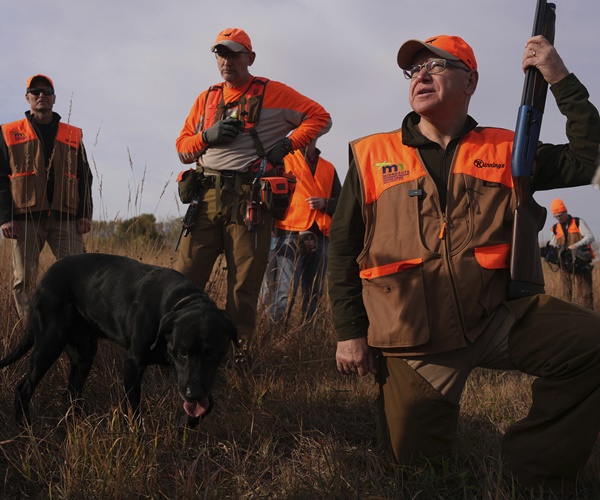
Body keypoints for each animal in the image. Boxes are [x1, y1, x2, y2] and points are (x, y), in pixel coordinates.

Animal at [0, 254, 237, 426]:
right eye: (182, 352)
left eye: (212, 354)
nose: (193, 395)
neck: (178, 302)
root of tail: (42, 281)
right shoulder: (133, 362)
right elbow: (135, 409)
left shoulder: (187, 375)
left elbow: (209, 403)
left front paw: (187, 424)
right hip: (50, 343)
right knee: (24, 388)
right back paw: (25, 427)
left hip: (84, 353)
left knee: (71, 392)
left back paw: (76, 424)